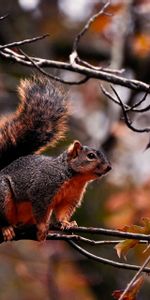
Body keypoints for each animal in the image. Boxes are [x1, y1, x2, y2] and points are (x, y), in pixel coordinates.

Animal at [0, 75, 111, 241]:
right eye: (91, 156)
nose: (109, 167)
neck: (74, 177)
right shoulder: (42, 190)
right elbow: (40, 210)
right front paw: (42, 227)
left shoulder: (70, 198)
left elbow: (63, 212)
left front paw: (67, 223)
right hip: (3, 195)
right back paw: (6, 228)